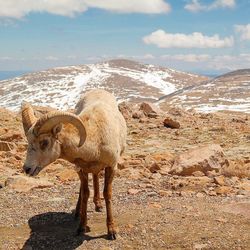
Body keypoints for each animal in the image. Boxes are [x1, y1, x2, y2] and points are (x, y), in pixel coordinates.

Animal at [21, 89, 127, 239]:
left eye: (44, 142)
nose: (27, 168)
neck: (95, 141)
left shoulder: (111, 166)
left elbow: (107, 194)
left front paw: (112, 231)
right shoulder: (81, 169)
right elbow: (85, 193)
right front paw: (81, 227)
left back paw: (98, 205)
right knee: (87, 184)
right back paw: (79, 212)